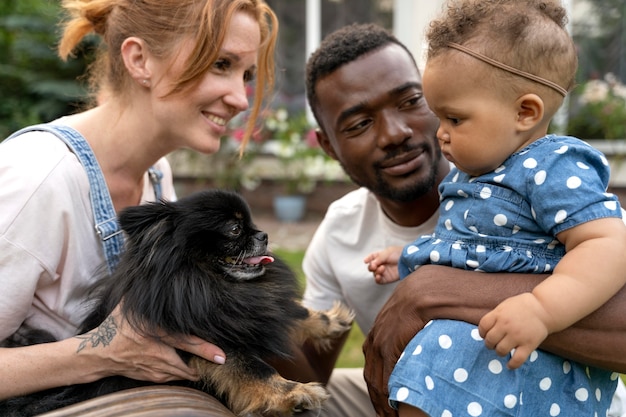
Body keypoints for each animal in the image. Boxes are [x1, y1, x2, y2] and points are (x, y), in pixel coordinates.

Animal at [0, 189, 354, 416]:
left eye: (252, 224)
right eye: (235, 229)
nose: (264, 234)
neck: (204, 284)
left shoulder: (246, 313)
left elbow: (293, 310)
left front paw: (329, 321)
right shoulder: (212, 342)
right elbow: (254, 368)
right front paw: (294, 393)